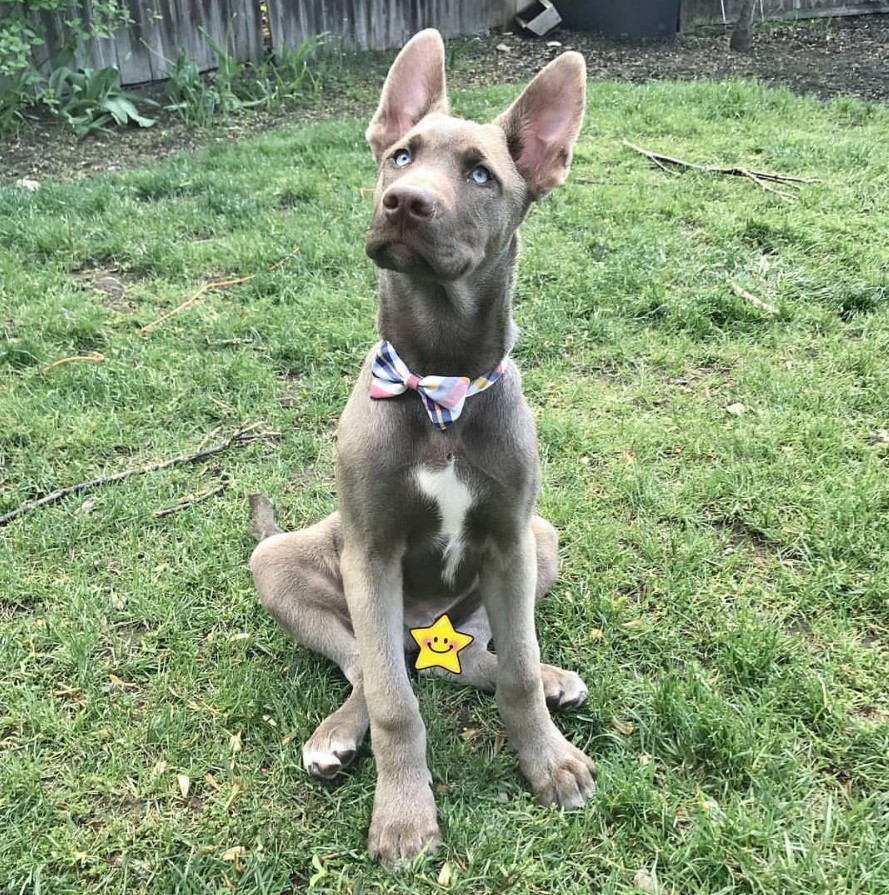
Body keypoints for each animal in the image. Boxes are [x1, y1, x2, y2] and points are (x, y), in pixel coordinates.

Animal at [248, 31, 596, 864]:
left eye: (480, 174)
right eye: (401, 155)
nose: (404, 202)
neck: (440, 381)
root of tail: (421, 631)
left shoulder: (510, 540)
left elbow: (517, 674)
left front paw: (548, 759)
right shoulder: (370, 552)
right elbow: (393, 701)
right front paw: (404, 813)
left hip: (537, 542)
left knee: (472, 653)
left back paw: (551, 677)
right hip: (280, 561)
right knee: (368, 666)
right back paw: (337, 733)